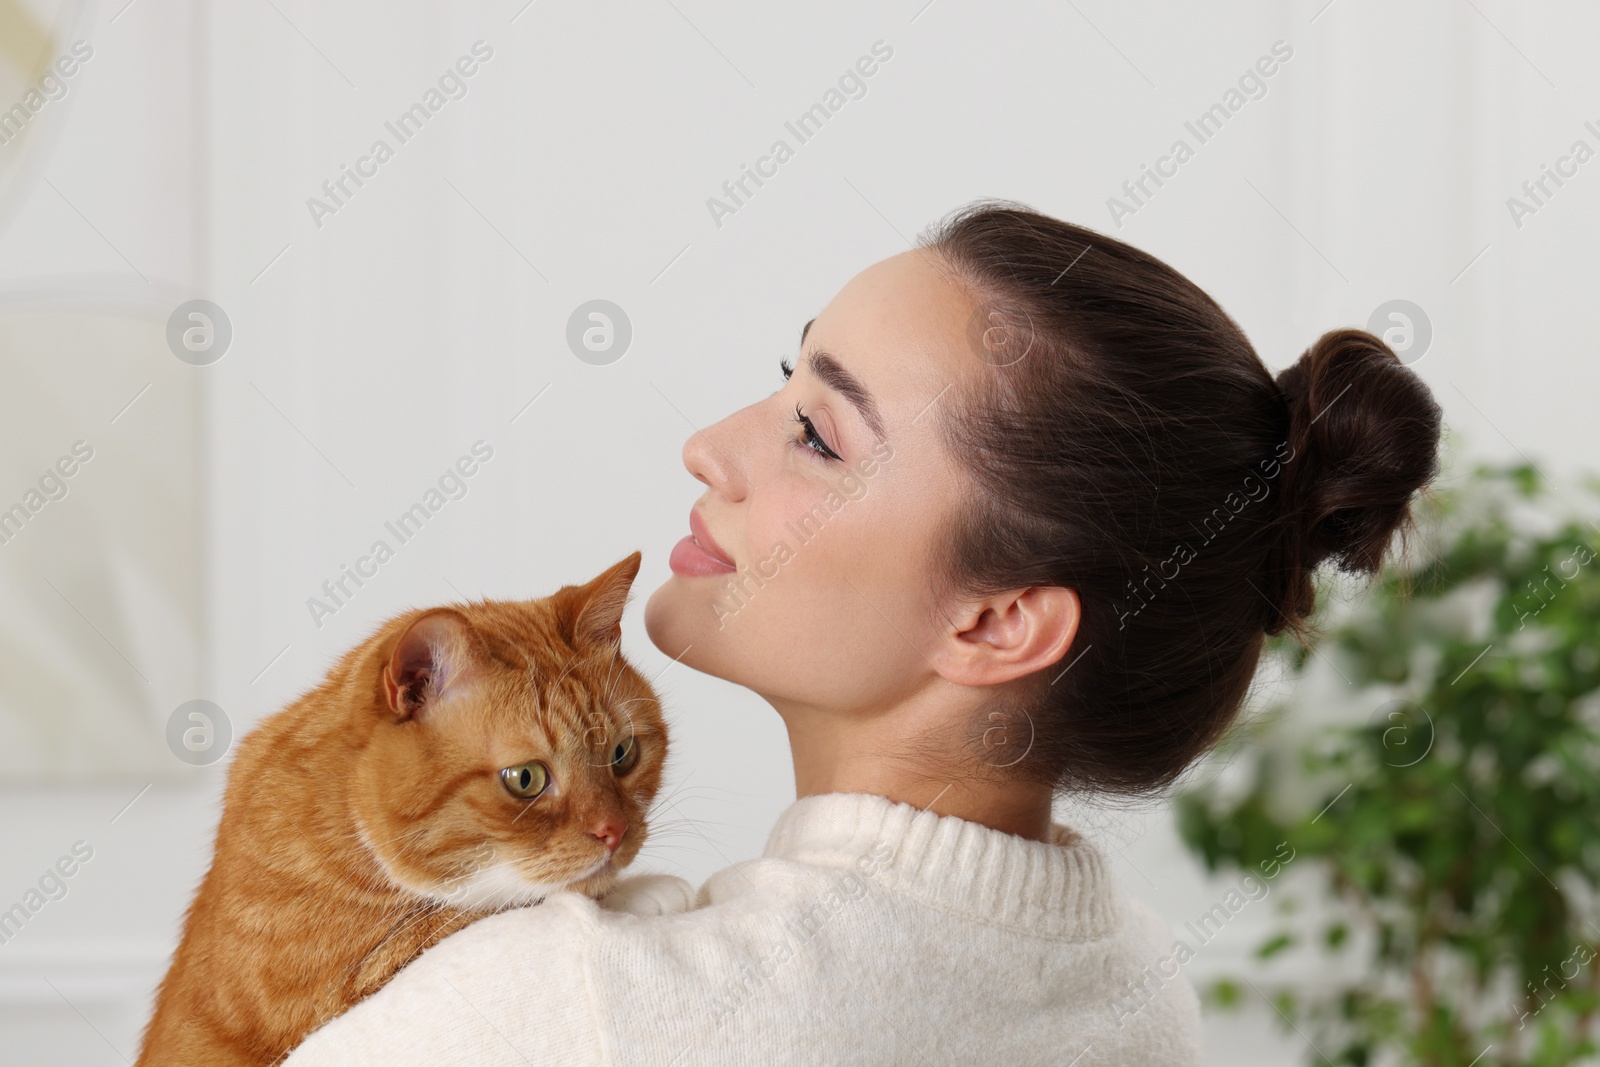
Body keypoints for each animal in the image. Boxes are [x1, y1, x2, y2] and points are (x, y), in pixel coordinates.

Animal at [134, 556, 665, 1062]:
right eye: (526, 779)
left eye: (622, 754)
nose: (615, 831)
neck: (344, 824)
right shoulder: (328, 994)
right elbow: (481, 910)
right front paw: (644, 893)